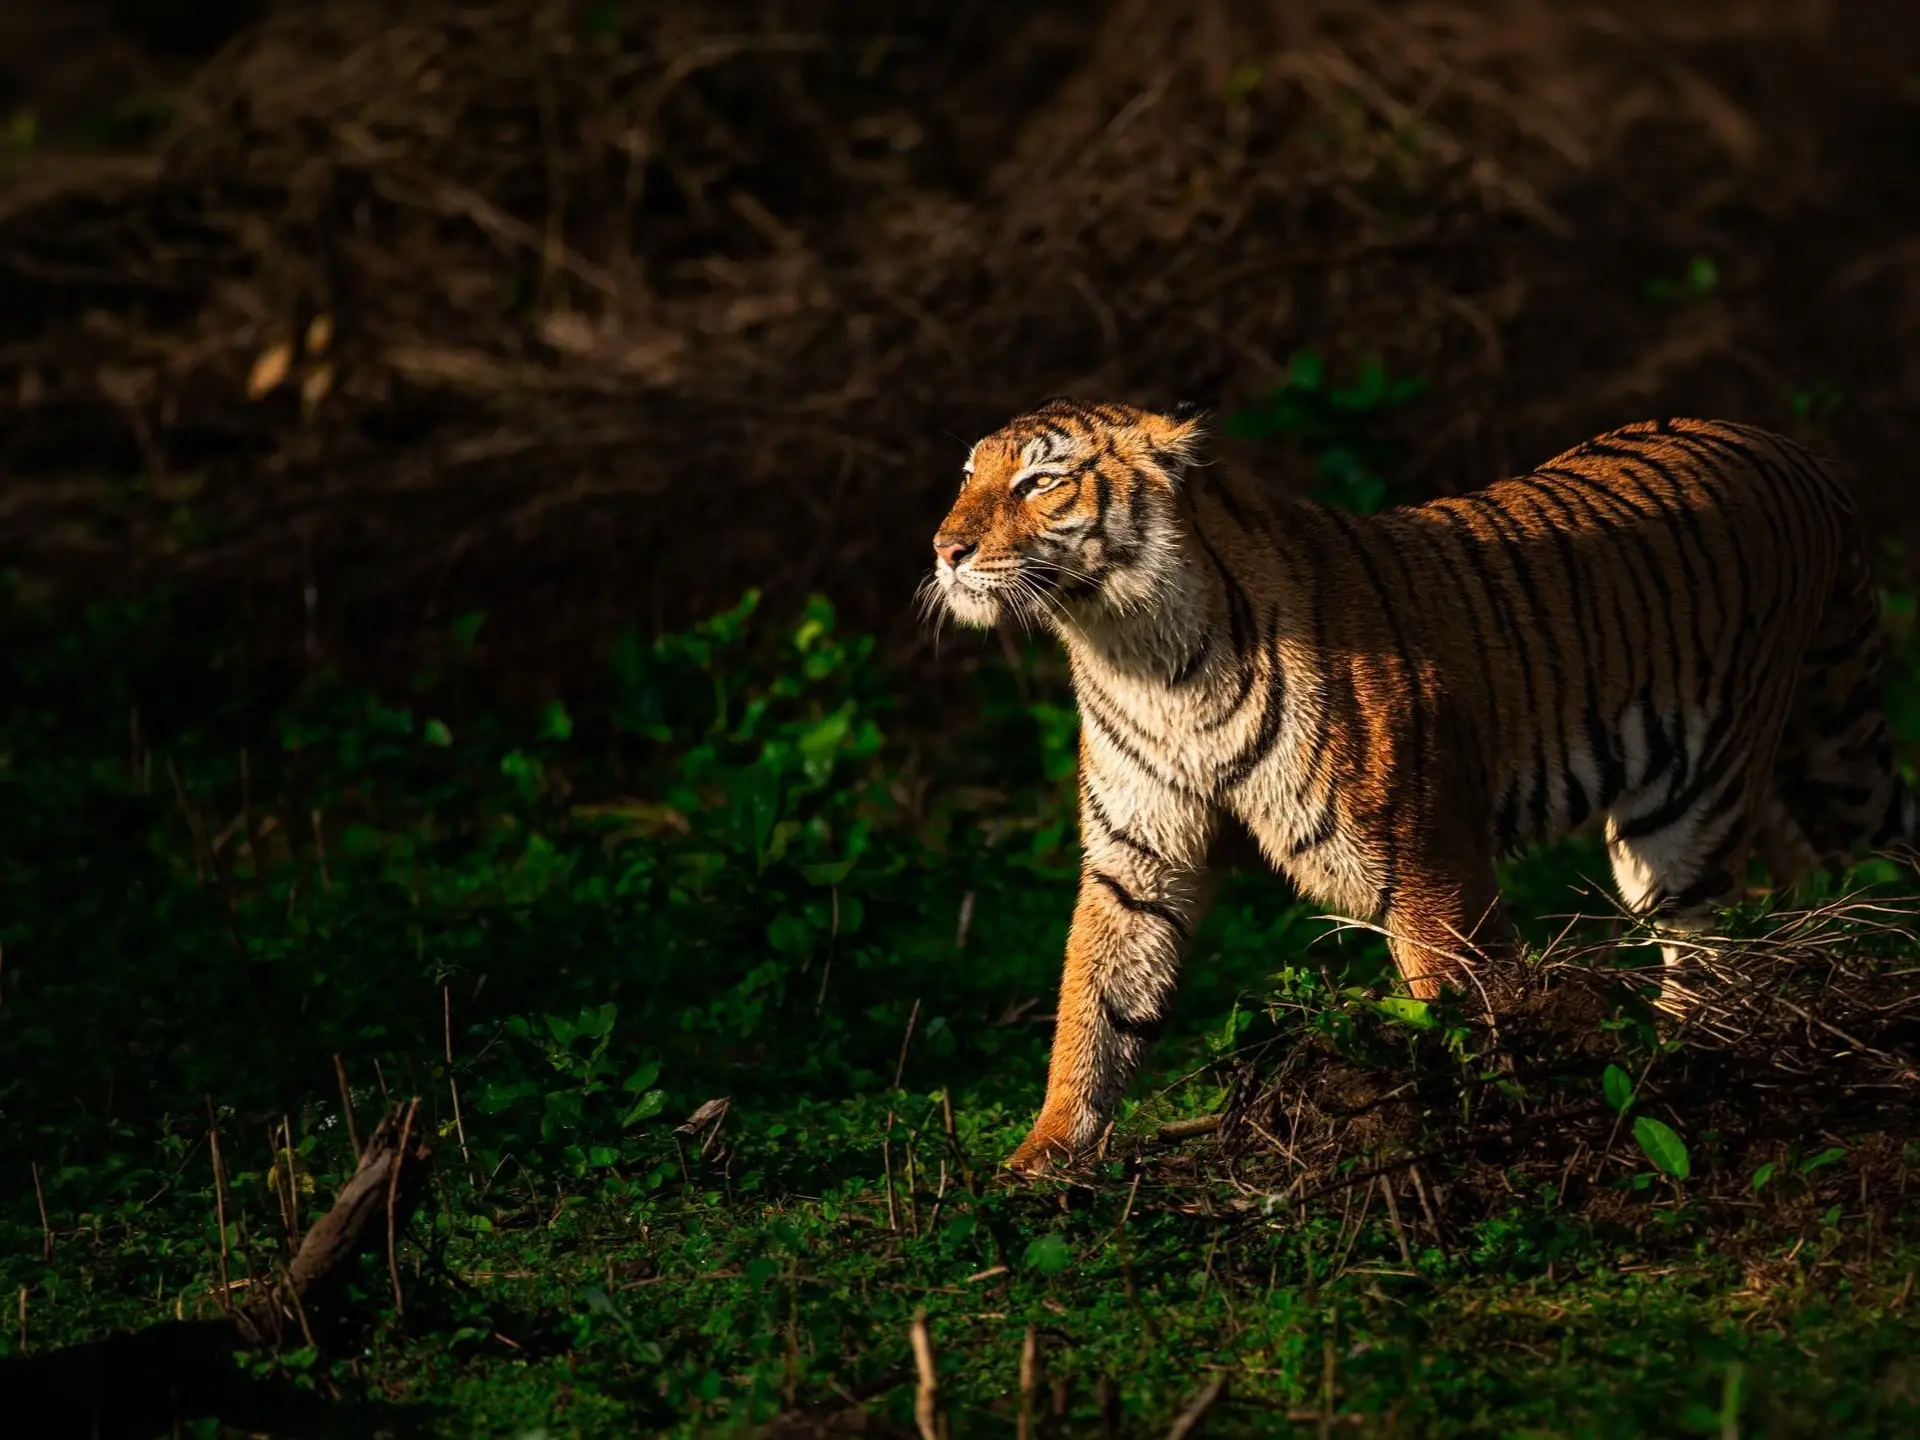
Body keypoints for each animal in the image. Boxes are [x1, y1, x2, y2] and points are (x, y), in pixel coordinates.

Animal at [926, 397, 1916, 1177]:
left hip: (1693, 802)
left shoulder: (1425, 861)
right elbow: (1093, 1006)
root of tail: (1786, 446)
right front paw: (1042, 1157)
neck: (1139, 655)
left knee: (1713, 945)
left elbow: (1458, 1010)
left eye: (1039, 482)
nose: (946, 548)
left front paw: (1453, 1131)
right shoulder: (1137, 857)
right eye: (969, 476)